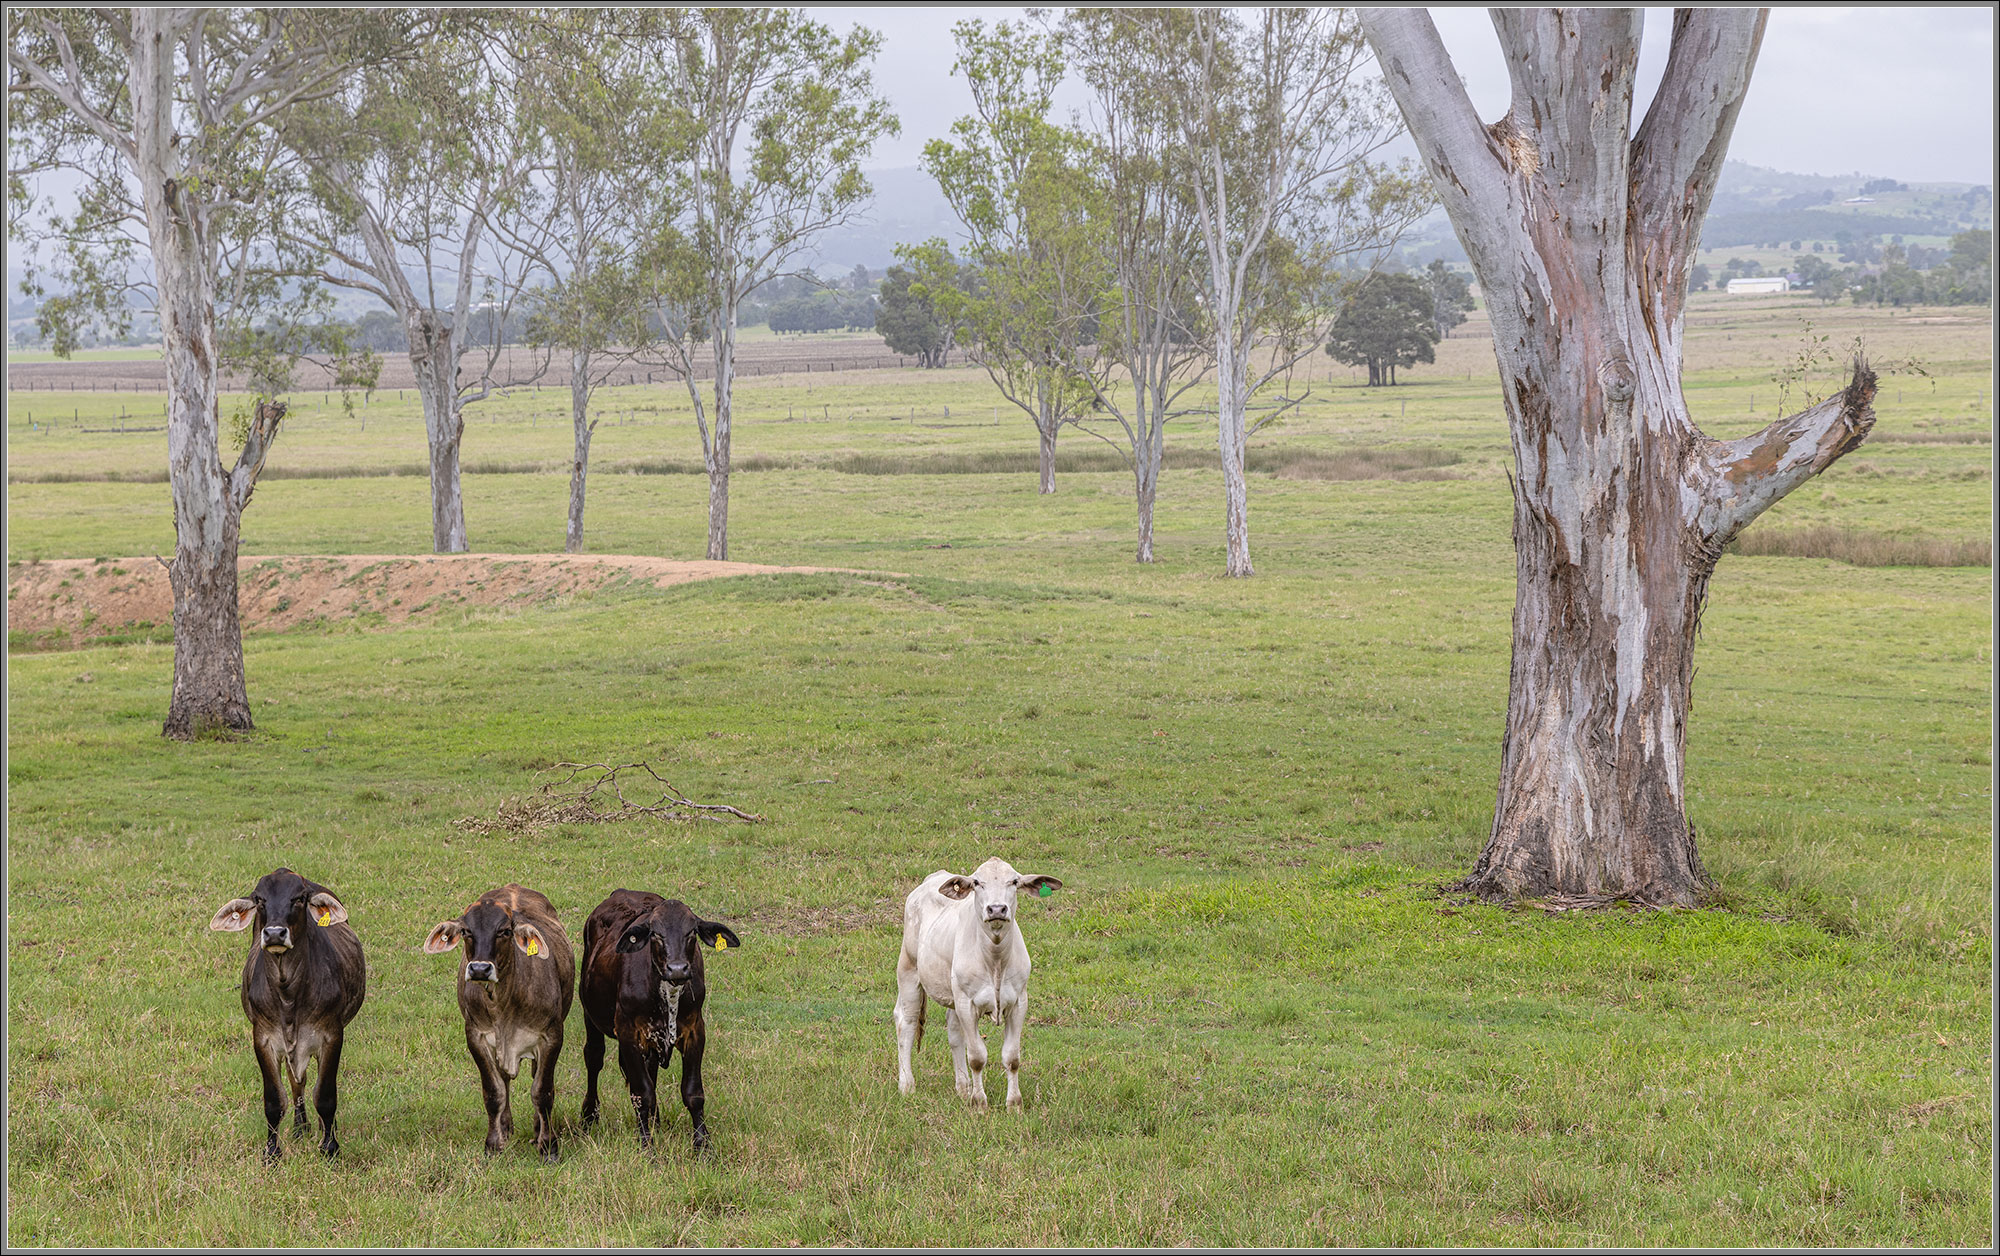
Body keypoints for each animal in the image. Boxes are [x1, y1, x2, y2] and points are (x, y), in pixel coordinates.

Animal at [210, 868, 368, 1160]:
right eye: (259, 899)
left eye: (299, 898)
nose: (274, 933)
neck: (288, 996)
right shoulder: (263, 1039)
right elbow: (275, 1099)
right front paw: (272, 1152)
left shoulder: (332, 1035)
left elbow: (325, 1095)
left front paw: (330, 1147)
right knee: (298, 1082)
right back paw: (300, 1127)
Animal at [422, 884, 576, 1160]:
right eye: (466, 931)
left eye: (504, 931)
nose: (480, 969)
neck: (504, 1005)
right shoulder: (476, 1036)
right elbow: (494, 1092)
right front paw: (494, 1144)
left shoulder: (551, 1036)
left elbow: (542, 1091)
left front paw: (548, 1146)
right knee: (504, 1080)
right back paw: (506, 1126)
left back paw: (536, 1129)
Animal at [584, 892, 748, 1152]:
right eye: (656, 934)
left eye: (691, 932)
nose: (677, 969)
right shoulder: (628, 1033)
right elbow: (642, 1094)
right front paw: (646, 1145)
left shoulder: (694, 1030)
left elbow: (693, 1093)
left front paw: (703, 1145)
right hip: (589, 1013)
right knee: (594, 1058)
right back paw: (589, 1116)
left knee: (650, 1070)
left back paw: (656, 1121)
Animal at [900, 852, 1064, 1112]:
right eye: (977, 883)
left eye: (1014, 882)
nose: (996, 908)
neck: (995, 960)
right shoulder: (967, 1004)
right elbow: (977, 1057)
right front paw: (979, 1103)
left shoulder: (1019, 1002)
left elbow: (1012, 1057)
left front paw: (1014, 1104)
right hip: (908, 970)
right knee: (905, 1023)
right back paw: (907, 1085)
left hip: (952, 992)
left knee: (954, 1032)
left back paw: (963, 1088)